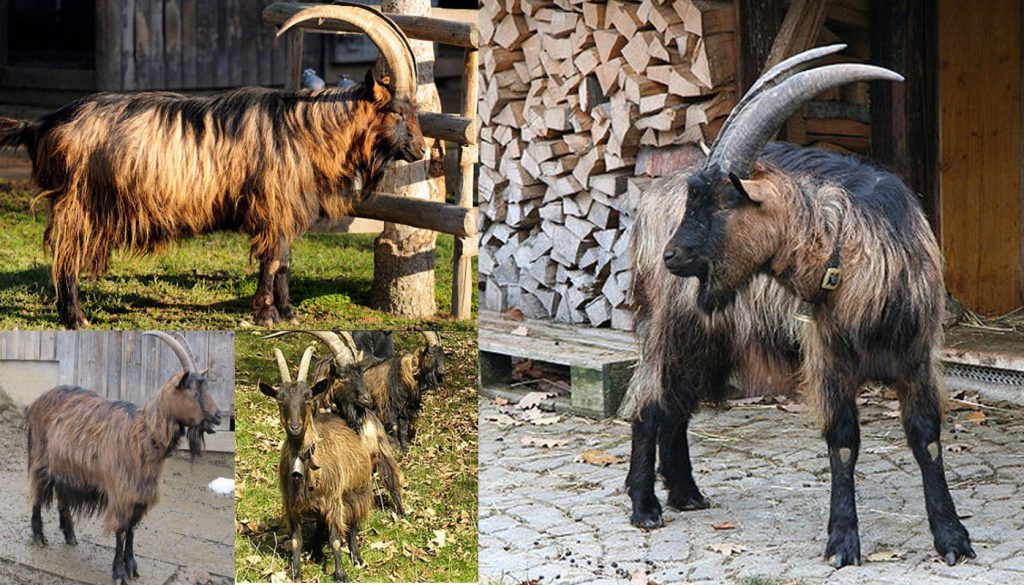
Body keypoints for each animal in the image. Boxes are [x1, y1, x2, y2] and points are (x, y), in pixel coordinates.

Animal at [0, 4, 423, 331]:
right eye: (396, 111)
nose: (419, 150)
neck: (302, 130)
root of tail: (41, 124)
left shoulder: (285, 211)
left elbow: (285, 261)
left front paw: (288, 313)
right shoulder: (271, 206)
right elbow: (271, 260)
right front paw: (266, 315)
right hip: (78, 203)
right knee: (65, 256)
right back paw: (75, 318)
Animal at [25, 331, 220, 581]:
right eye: (193, 390)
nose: (218, 416)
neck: (142, 435)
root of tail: (36, 402)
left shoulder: (140, 495)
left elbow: (131, 529)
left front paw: (132, 567)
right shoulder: (121, 492)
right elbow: (120, 530)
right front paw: (118, 571)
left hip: (66, 468)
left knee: (62, 497)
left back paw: (70, 536)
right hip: (41, 459)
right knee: (37, 493)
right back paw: (39, 537)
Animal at [258, 346, 374, 581]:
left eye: (308, 397)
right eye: (280, 400)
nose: (294, 427)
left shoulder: (333, 501)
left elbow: (335, 538)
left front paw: (340, 574)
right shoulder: (292, 505)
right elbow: (296, 540)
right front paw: (296, 572)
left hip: (357, 489)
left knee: (352, 523)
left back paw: (356, 557)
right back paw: (317, 552)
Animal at [622, 48, 974, 569]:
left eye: (721, 202)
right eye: (695, 200)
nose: (674, 255)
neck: (851, 251)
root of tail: (646, 206)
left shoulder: (916, 357)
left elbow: (927, 438)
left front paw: (952, 538)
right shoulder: (828, 359)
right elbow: (844, 443)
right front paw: (843, 542)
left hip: (709, 338)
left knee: (677, 407)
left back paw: (686, 494)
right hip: (672, 325)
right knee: (650, 404)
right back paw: (645, 507)